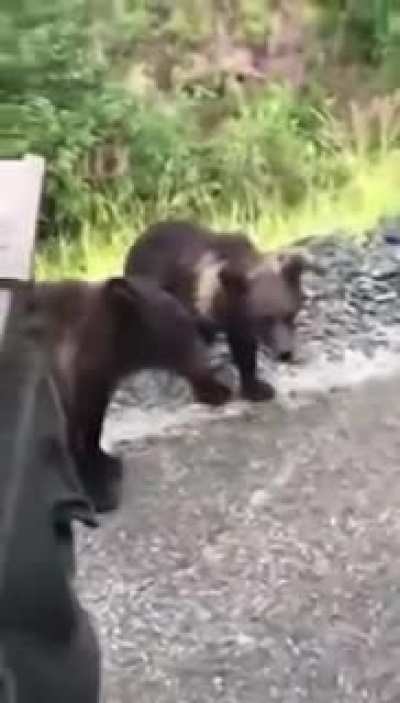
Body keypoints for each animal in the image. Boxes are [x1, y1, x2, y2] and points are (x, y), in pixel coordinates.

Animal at [124, 220, 320, 402]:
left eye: (290, 314)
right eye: (264, 319)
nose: (284, 353)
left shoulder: (238, 320)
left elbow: (244, 351)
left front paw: (257, 388)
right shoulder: (193, 306)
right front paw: (211, 392)